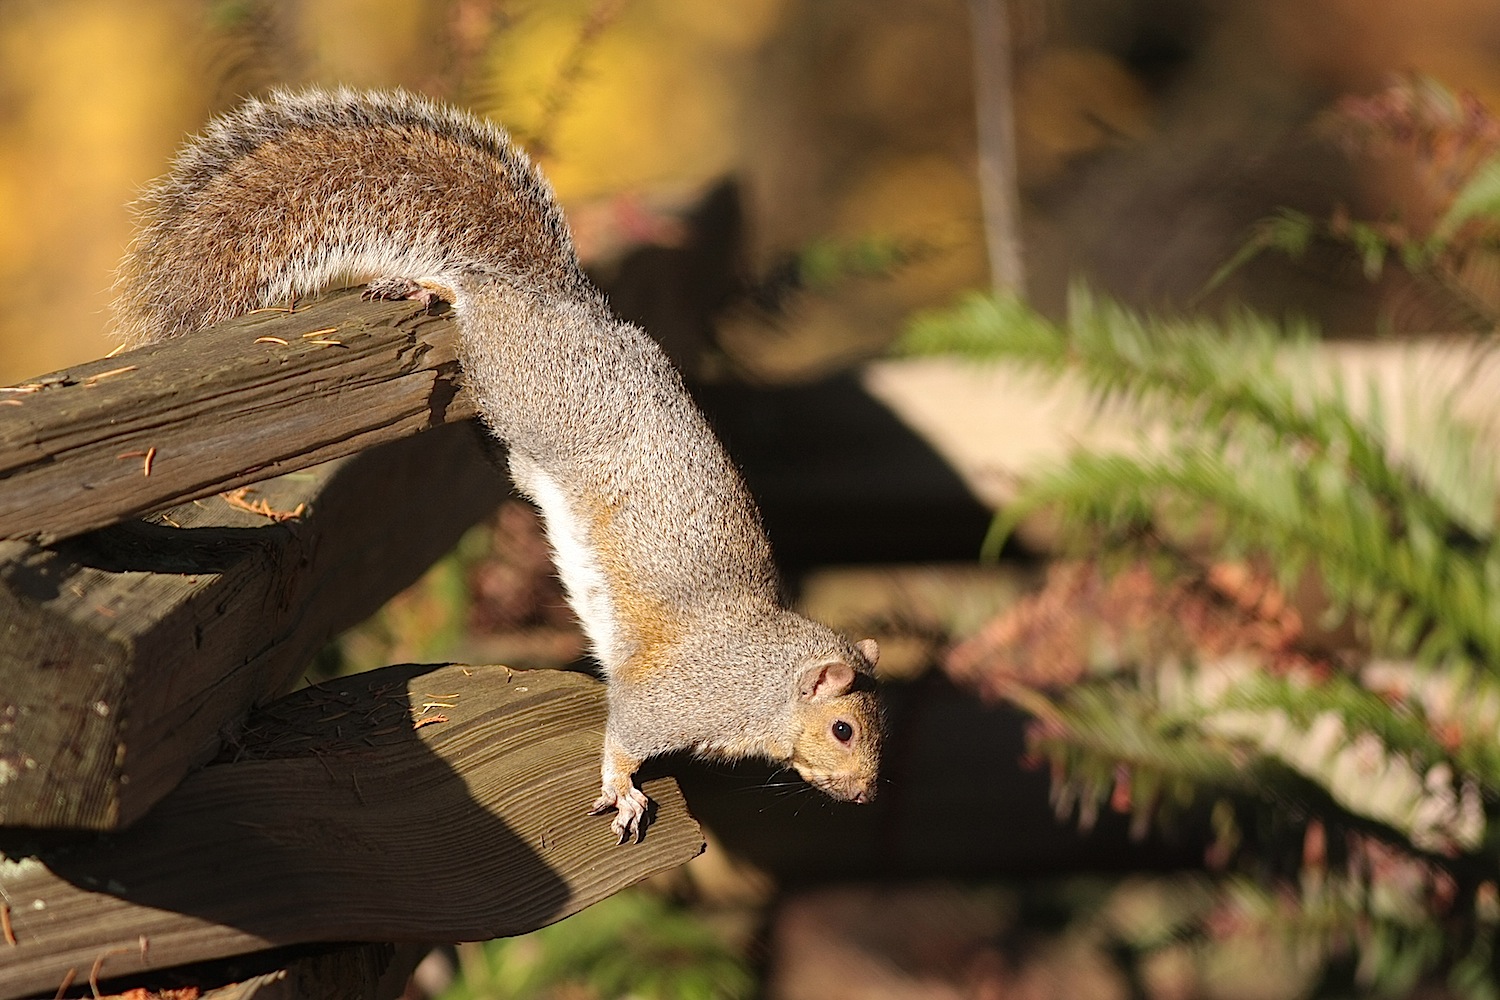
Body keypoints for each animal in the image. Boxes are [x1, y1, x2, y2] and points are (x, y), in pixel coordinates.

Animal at [112, 87, 884, 842]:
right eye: (843, 729)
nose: (865, 795)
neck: (765, 676)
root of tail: (556, 297)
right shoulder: (674, 697)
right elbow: (625, 734)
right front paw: (623, 789)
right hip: (521, 381)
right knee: (476, 301)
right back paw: (432, 287)